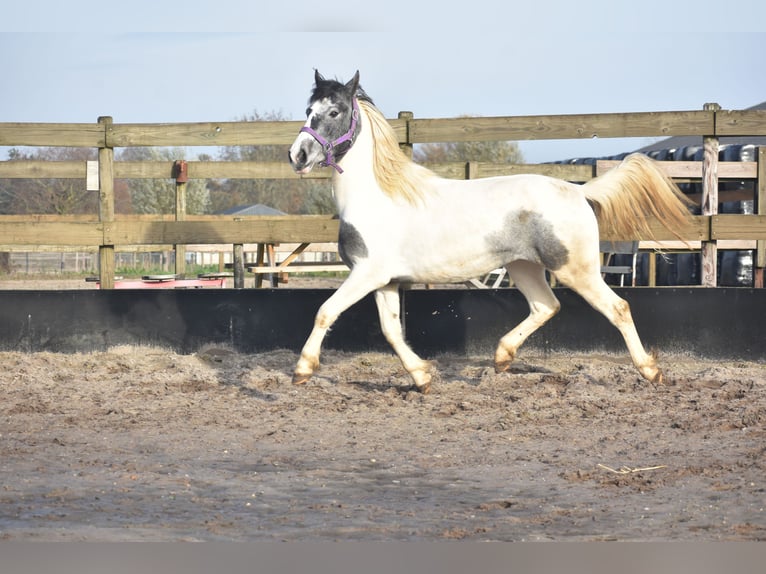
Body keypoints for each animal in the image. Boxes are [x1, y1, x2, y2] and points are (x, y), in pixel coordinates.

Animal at [288, 70, 691, 394]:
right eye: (308, 110)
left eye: (334, 112)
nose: (298, 155)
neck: (376, 195)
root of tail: (578, 191)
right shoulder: (385, 281)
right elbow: (391, 330)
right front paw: (421, 377)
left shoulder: (366, 274)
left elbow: (325, 311)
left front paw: (302, 370)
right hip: (523, 268)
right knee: (547, 305)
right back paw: (501, 357)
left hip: (576, 270)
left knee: (617, 307)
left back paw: (651, 371)